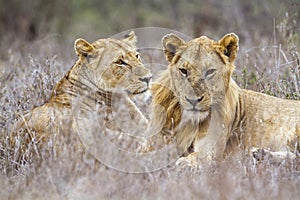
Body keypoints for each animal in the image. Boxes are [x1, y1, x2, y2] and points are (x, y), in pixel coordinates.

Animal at [149, 33, 298, 167]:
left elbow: (198, 156)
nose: (193, 100)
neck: (189, 122)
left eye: (210, 71)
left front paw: (185, 163)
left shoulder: (211, 151)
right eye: (184, 71)